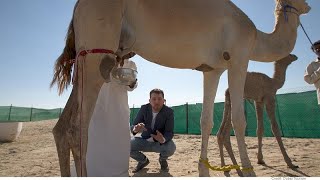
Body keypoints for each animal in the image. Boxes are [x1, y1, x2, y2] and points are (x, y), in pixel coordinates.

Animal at [50, 0, 310, 176]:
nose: (308, 6)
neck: (257, 38)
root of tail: (78, 6)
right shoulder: (239, 57)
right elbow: (239, 119)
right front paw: (248, 170)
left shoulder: (213, 69)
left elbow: (206, 121)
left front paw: (204, 170)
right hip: (99, 47)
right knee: (78, 128)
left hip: (86, 57)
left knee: (62, 128)